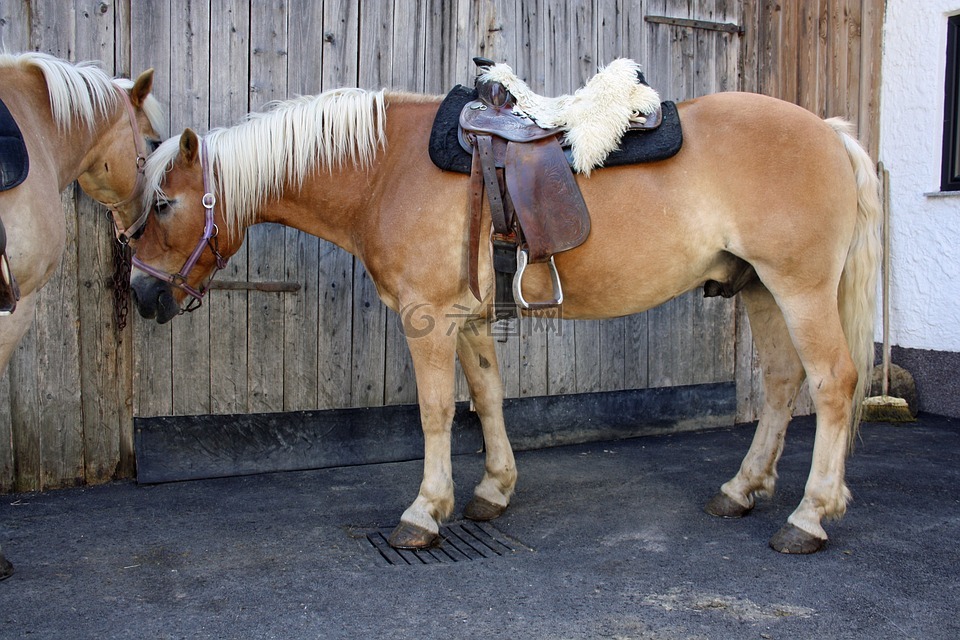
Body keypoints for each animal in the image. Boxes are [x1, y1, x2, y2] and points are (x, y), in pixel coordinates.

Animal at [128, 77, 881, 556]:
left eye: (163, 204)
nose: (140, 294)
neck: (384, 169)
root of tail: (830, 132)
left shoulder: (427, 318)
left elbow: (436, 412)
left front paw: (424, 512)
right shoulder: (468, 319)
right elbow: (487, 396)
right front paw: (493, 490)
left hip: (801, 288)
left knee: (832, 384)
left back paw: (809, 516)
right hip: (761, 290)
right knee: (782, 386)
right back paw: (743, 489)